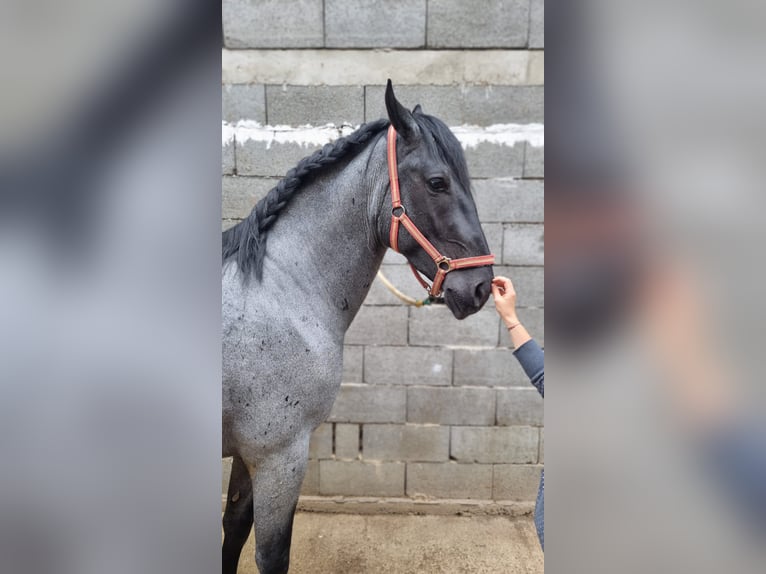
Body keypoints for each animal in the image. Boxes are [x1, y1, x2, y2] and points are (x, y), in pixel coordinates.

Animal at [222, 81, 495, 574]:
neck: (277, 290)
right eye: (438, 182)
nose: (481, 286)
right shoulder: (279, 457)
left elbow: (233, 529)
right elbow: (271, 554)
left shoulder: (250, 452)